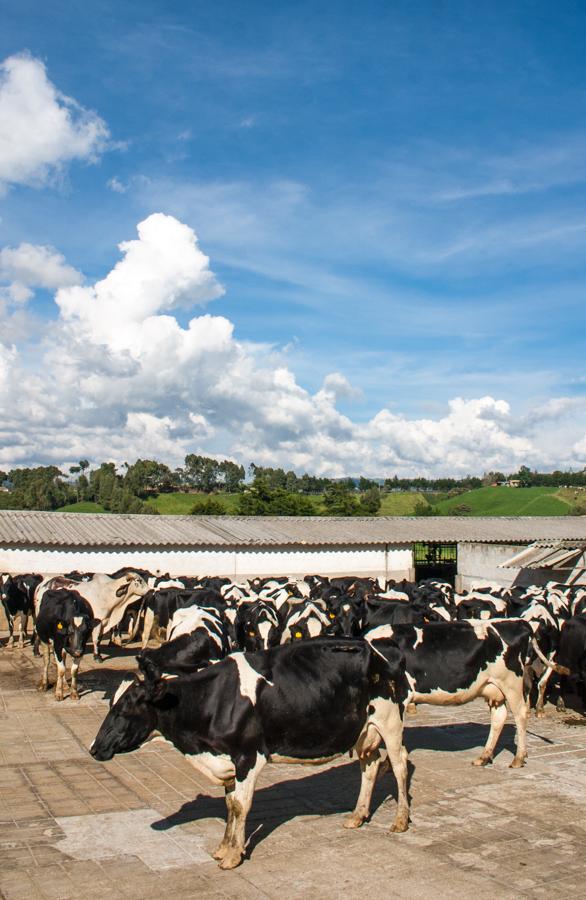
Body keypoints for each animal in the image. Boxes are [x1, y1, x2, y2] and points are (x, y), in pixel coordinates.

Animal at [92, 636, 410, 868]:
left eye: (124, 709)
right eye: (111, 705)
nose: (95, 749)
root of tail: (377, 648)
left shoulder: (248, 756)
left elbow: (241, 806)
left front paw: (233, 856)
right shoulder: (227, 759)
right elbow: (230, 805)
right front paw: (223, 848)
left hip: (390, 720)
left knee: (399, 764)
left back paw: (400, 820)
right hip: (362, 730)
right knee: (371, 765)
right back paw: (358, 815)